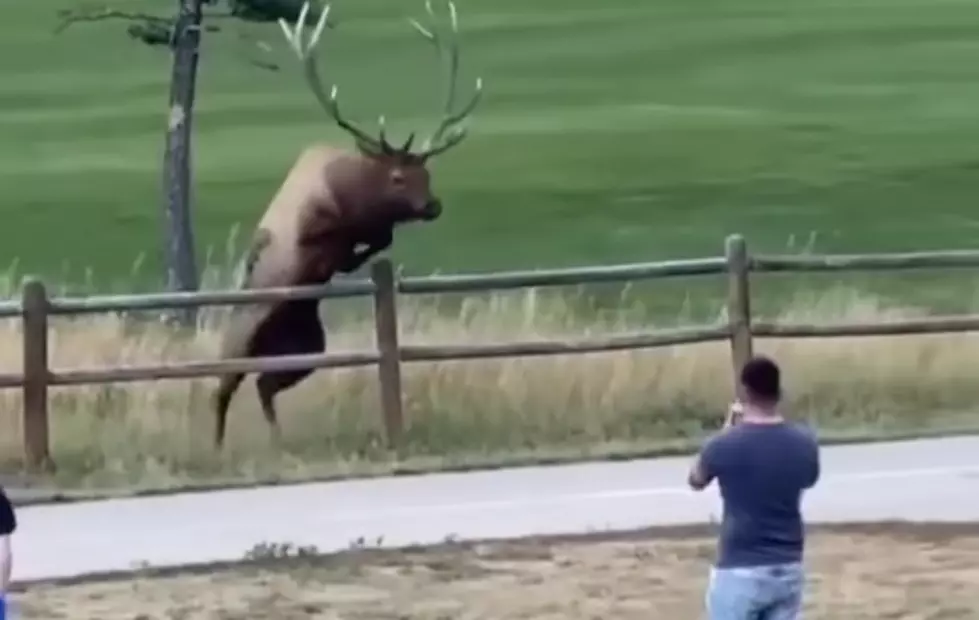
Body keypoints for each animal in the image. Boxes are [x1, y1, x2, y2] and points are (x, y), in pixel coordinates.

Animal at [211, 0, 482, 448]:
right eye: (397, 177)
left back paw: (279, 440)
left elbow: (379, 239)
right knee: (223, 386)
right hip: (243, 332)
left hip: (308, 348)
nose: (433, 205)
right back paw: (218, 447)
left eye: (427, 173)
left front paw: (358, 253)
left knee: (264, 385)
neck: (352, 194)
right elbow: (332, 235)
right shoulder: (308, 227)